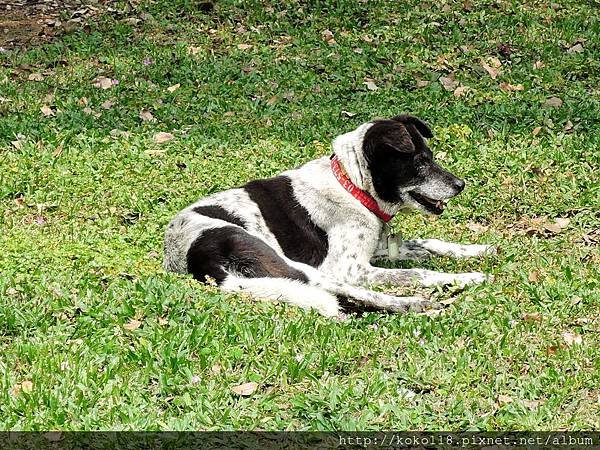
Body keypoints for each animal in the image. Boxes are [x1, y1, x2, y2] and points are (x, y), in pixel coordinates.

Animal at [162, 114, 494, 316]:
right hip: (294, 266)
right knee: (356, 293)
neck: (353, 187)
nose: (460, 185)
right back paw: (418, 303)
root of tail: (196, 258)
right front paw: (465, 275)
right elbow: (418, 272)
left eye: (432, 158)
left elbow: (429, 243)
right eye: (421, 162)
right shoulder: (351, 267)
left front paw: (478, 250)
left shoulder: (376, 250)